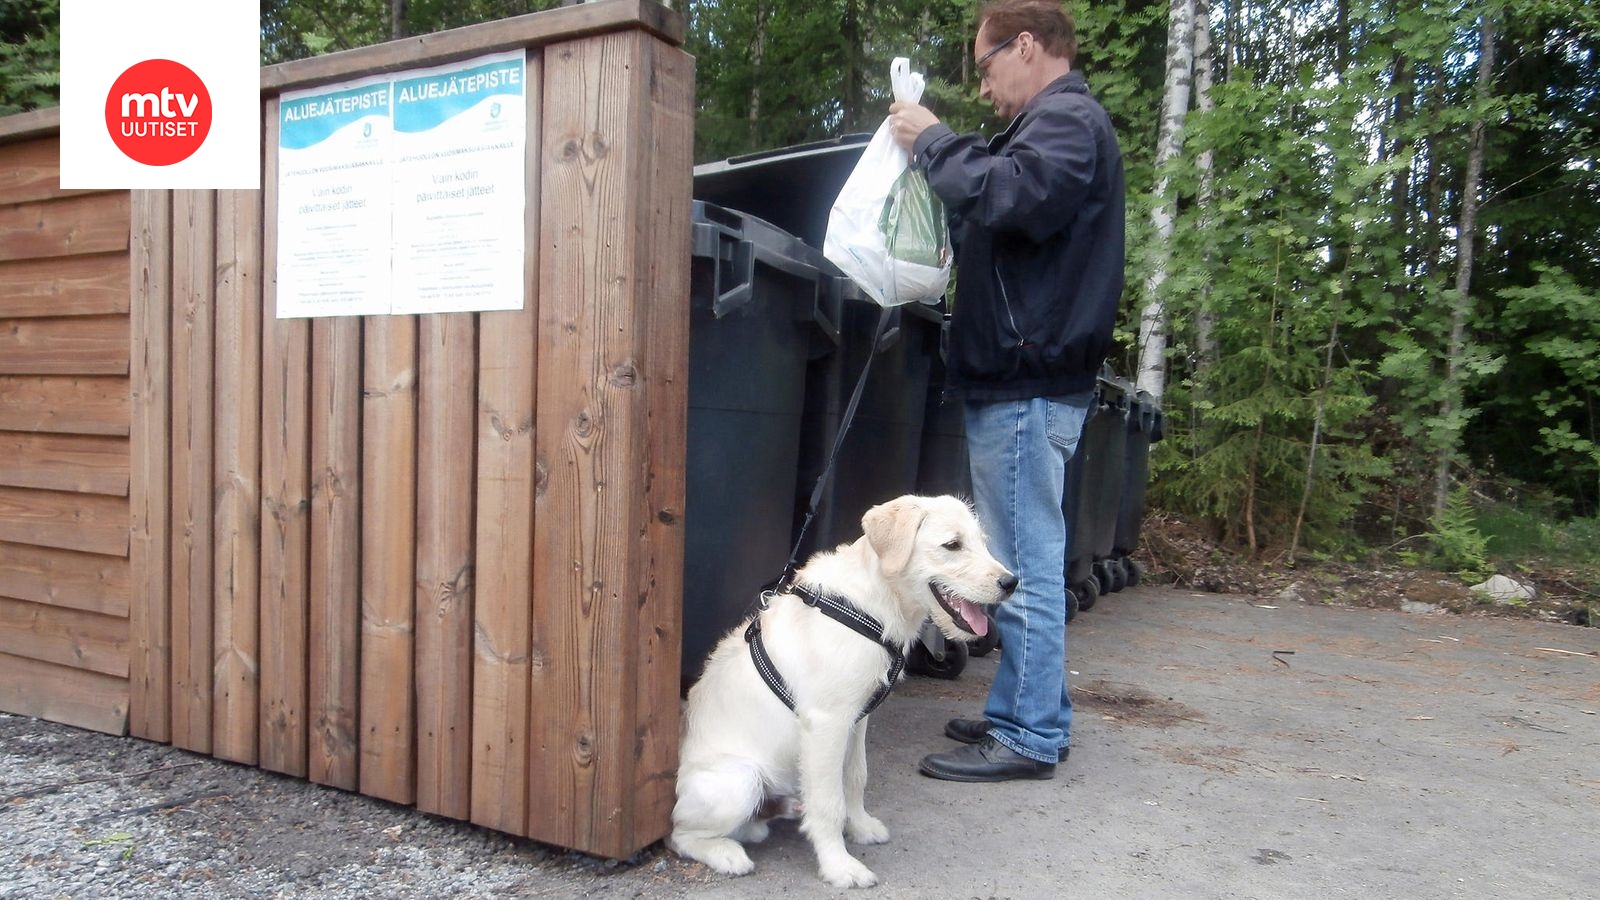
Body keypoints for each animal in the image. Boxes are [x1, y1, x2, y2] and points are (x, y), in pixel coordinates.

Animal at [668, 493, 1017, 883]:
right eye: (952, 545)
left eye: (983, 542)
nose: (1011, 583)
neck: (874, 604)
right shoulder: (827, 724)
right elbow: (828, 803)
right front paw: (838, 865)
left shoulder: (857, 719)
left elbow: (854, 777)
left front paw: (860, 827)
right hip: (740, 780)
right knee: (680, 835)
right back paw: (727, 854)